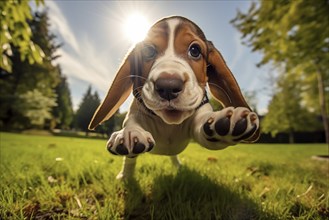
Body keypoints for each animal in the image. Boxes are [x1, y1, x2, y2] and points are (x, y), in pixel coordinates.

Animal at [89, 16, 258, 180]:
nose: (168, 86)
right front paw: (130, 133)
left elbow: (205, 127)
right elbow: (132, 123)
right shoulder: (136, 113)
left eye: (195, 50)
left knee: (173, 156)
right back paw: (125, 176)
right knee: (130, 159)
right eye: (148, 51)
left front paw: (225, 123)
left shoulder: (199, 118)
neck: (169, 122)